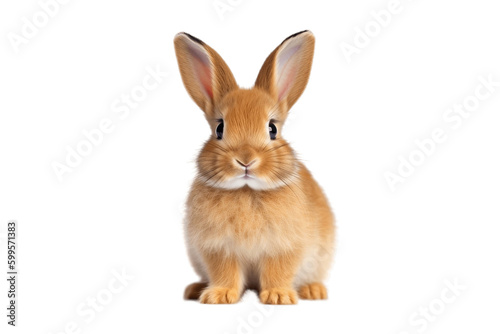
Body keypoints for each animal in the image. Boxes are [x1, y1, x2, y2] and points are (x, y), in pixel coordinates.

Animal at [174, 30, 334, 304]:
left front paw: (278, 297)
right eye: (219, 128)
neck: (247, 190)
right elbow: (225, 272)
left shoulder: (284, 247)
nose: (245, 159)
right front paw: (219, 296)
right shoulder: (218, 248)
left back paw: (314, 291)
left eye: (272, 129)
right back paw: (195, 289)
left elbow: (277, 271)